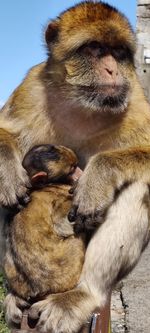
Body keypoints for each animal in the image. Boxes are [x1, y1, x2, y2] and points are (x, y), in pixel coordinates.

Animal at [3, 143, 84, 300]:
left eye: (76, 165)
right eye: (72, 170)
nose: (81, 173)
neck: (46, 186)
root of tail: (38, 289)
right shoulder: (61, 193)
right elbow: (62, 224)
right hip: (68, 269)